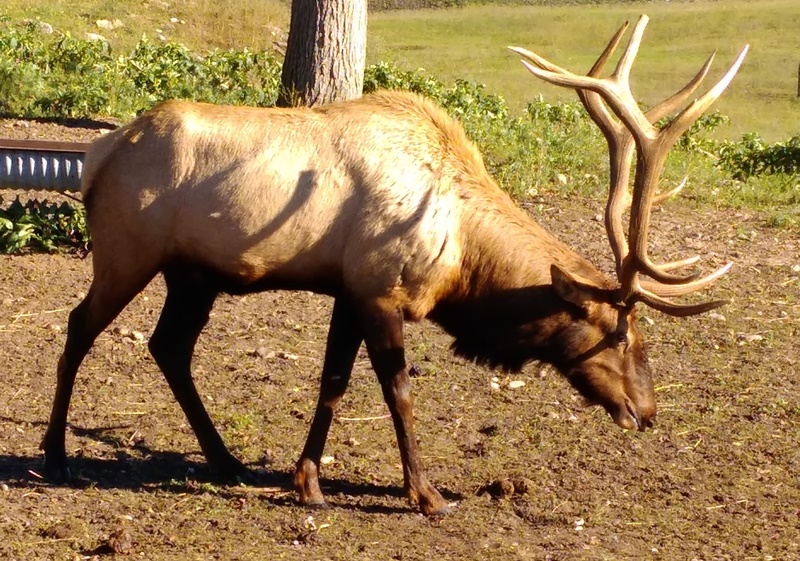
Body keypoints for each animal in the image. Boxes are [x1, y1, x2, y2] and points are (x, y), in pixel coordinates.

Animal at [40, 15, 748, 516]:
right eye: (620, 333)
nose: (646, 411)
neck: (463, 260)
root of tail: (97, 157)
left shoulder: (349, 289)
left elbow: (332, 382)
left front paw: (307, 482)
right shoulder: (381, 290)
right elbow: (398, 391)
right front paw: (427, 495)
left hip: (192, 276)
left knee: (169, 346)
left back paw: (226, 461)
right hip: (127, 252)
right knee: (78, 327)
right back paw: (55, 457)